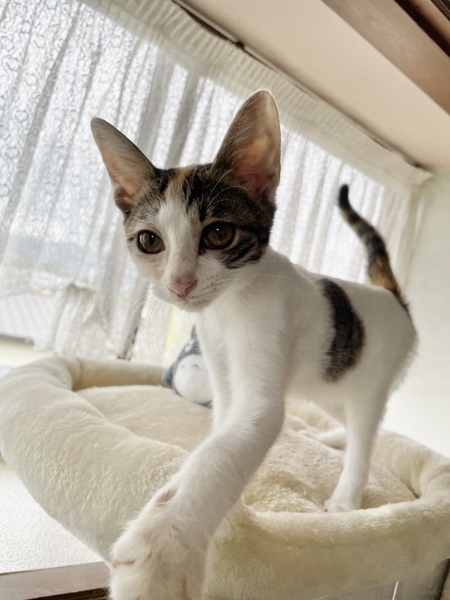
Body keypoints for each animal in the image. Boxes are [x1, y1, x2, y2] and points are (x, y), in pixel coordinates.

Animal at [91, 90, 417, 600]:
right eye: (149, 241)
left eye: (218, 233)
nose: (180, 283)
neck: (227, 309)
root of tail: (393, 298)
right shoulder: (221, 370)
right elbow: (226, 432)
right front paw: (228, 504)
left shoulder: (266, 359)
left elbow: (230, 445)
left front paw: (163, 548)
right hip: (331, 378)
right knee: (349, 417)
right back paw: (327, 437)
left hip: (373, 379)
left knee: (367, 434)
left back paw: (345, 498)